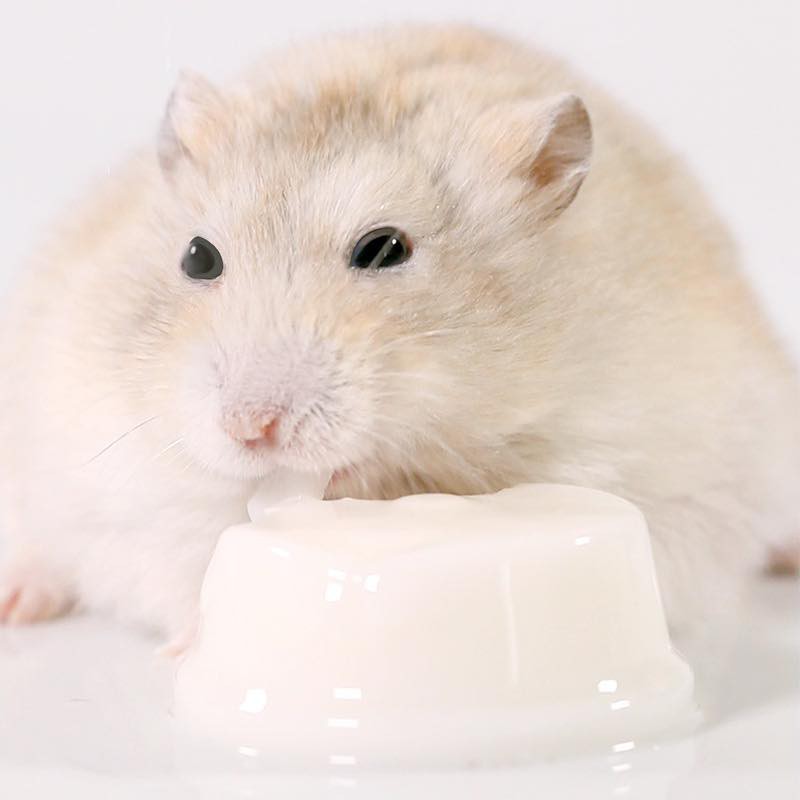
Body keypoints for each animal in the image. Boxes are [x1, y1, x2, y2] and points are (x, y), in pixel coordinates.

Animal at [1, 24, 798, 643]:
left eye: (384, 249)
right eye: (197, 257)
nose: (250, 430)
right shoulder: (126, 486)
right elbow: (181, 561)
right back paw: (19, 601)